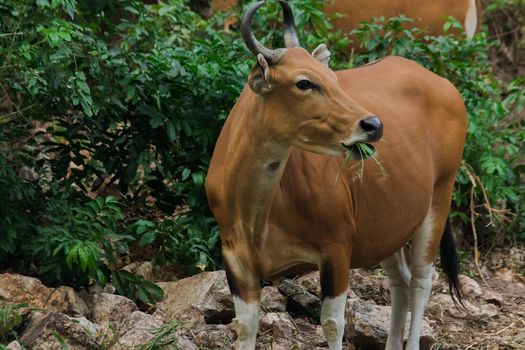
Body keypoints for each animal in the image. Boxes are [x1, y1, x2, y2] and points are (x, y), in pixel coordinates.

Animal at [204, 1, 466, 348]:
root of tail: (446, 87)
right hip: (388, 224)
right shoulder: (236, 260)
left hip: (438, 198)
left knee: (423, 280)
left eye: (333, 77)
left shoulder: (337, 248)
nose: (373, 125)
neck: (257, 213)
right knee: (401, 281)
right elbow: (245, 326)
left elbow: (331, 324)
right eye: (304, 82)